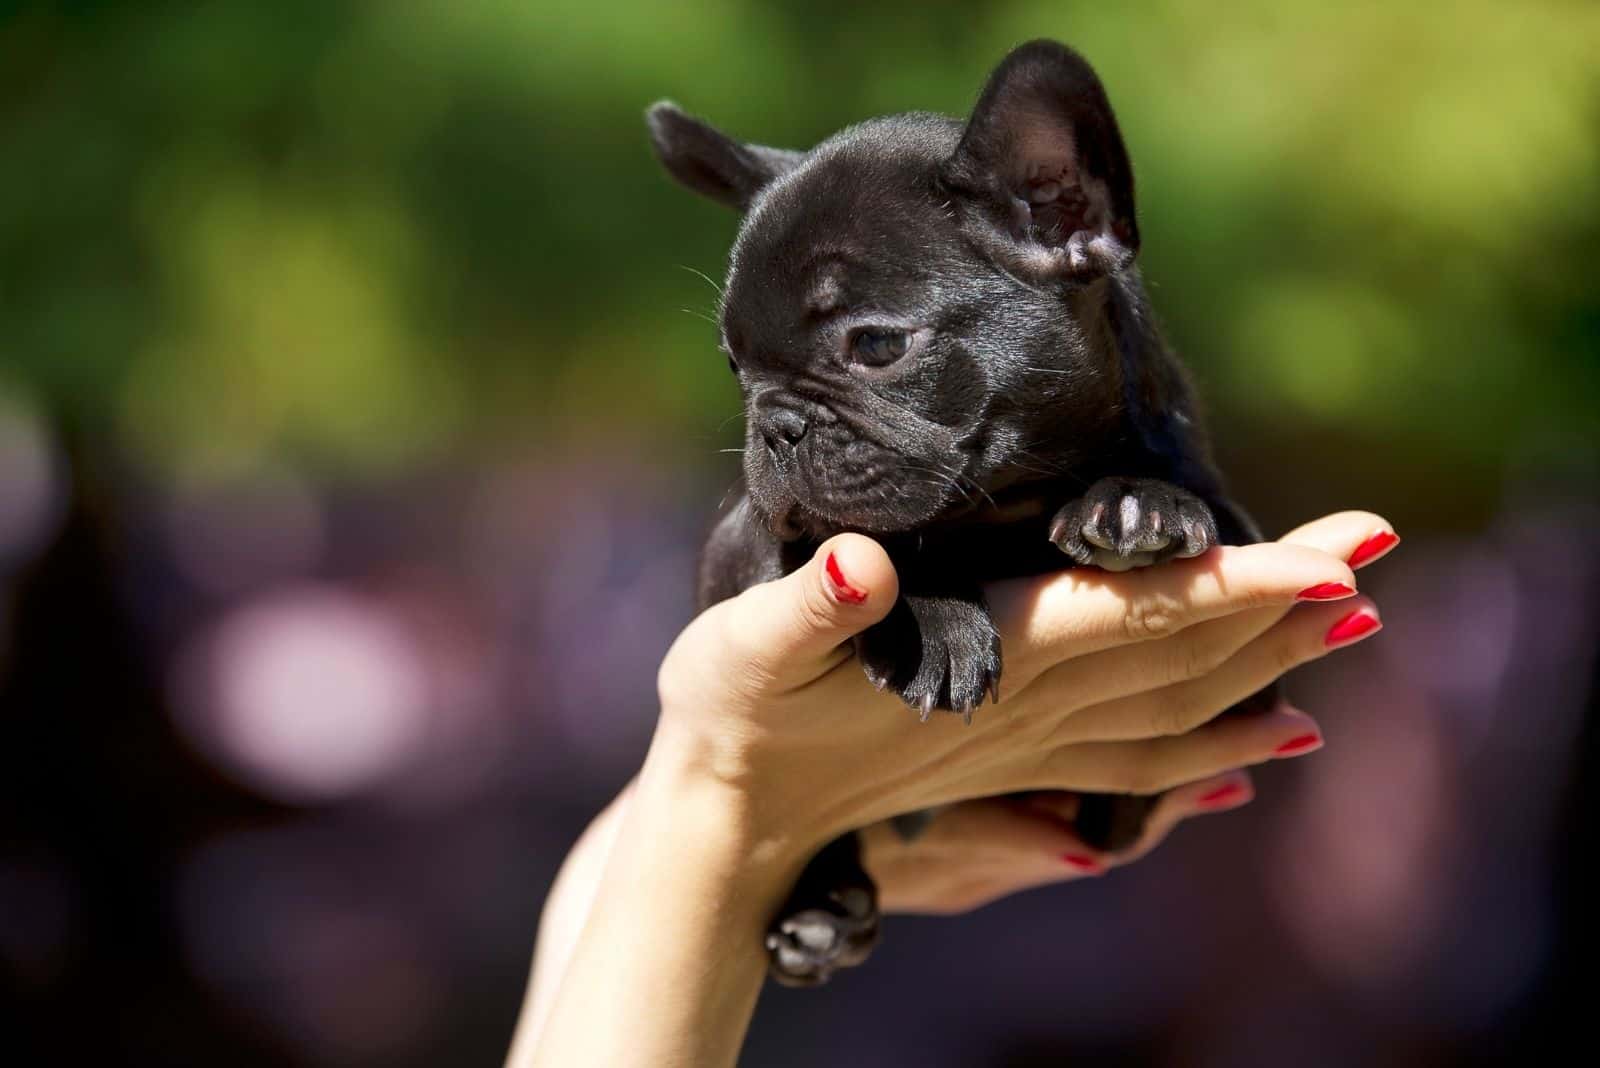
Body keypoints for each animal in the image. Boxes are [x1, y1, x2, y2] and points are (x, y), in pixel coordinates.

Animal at [643, 39, 1267, 984]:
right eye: (732, 365)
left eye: (876, 345)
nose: (775, 424)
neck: (1006, 508)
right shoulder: (739, 554)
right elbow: (860, 536)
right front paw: (928, 613)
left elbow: (1207, 512)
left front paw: (1135, 502)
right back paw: (822, 911)